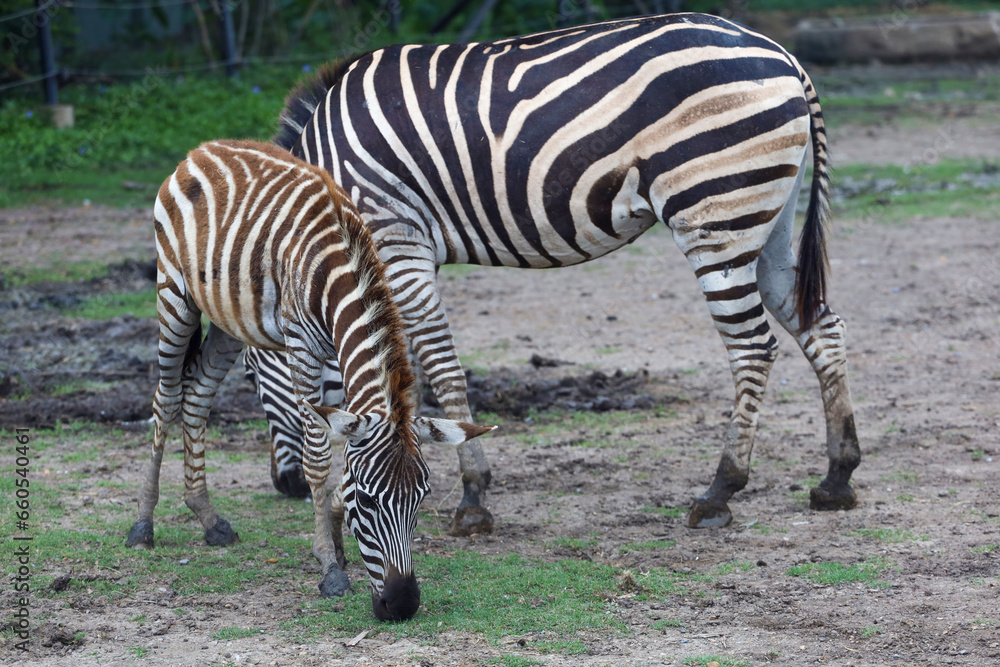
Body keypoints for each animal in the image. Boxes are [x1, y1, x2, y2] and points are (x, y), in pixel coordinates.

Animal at [126, 139, 494, 620]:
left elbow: (344, 439)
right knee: (166, 399)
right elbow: (318, 459)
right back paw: (143, 523)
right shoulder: (301, 348)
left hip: (228, 321)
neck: (337, 266)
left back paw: (208, 517)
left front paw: (336, 538)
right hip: (173, 294)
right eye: (368, 501)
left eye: (422, 498)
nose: (402, 605)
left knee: (198, 395)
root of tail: (203, 149)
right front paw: (329, 565)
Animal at [245, 12, 862, 530]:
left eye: (251, 376)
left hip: (715, 212)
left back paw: (720, 491)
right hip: (765, 217)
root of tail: (782, 54)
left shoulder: (397, 239)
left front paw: (472, 497)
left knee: (753, 347)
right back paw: (837, 477)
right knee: (821, 327)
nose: (287, 485)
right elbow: (411, 371)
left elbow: (440, 370)